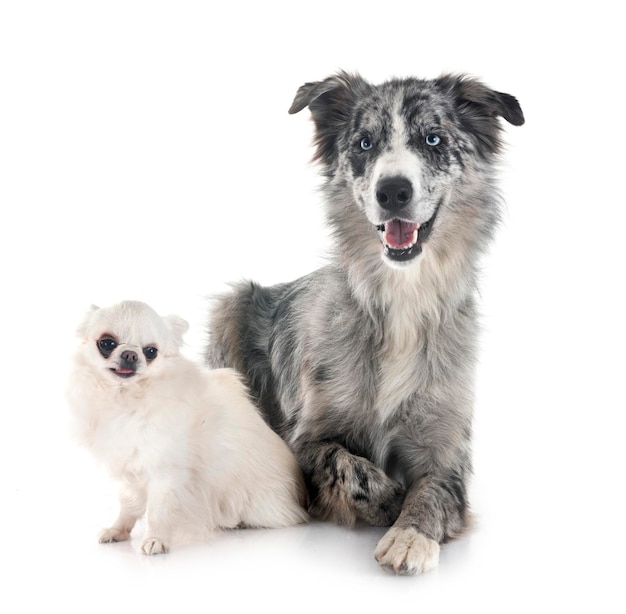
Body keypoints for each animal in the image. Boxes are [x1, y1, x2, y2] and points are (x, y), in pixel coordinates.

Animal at [67, 300, 308, 556]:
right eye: (107, 343)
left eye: (151, 351)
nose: (130, 354)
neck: (126, 397)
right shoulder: (131, 470)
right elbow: (128, 504)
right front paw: (118, 530)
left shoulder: (165, 472)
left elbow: (157, 510)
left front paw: (155, 539)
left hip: (256, 503)